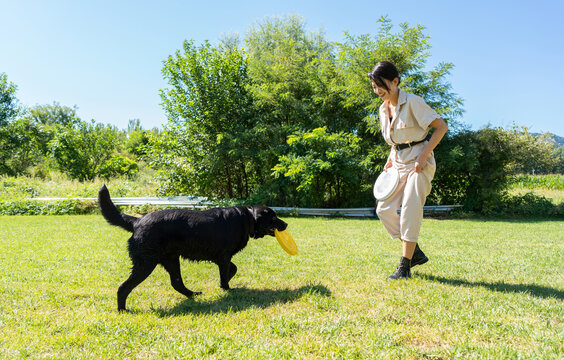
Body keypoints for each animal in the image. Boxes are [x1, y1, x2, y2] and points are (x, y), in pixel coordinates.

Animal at [96, 184, 286, 310]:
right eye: (274, 218)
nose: (286, 224)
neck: (246, 217)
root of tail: (137, 221)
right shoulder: (224, 256)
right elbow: (227, 273)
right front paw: (226, 288)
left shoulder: (221, 257)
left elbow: (232, 269)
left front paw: (225, 283)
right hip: (146, 263)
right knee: (124, 287)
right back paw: (122, 310)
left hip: (171, 260)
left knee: (176, 283)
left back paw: (193, 295)